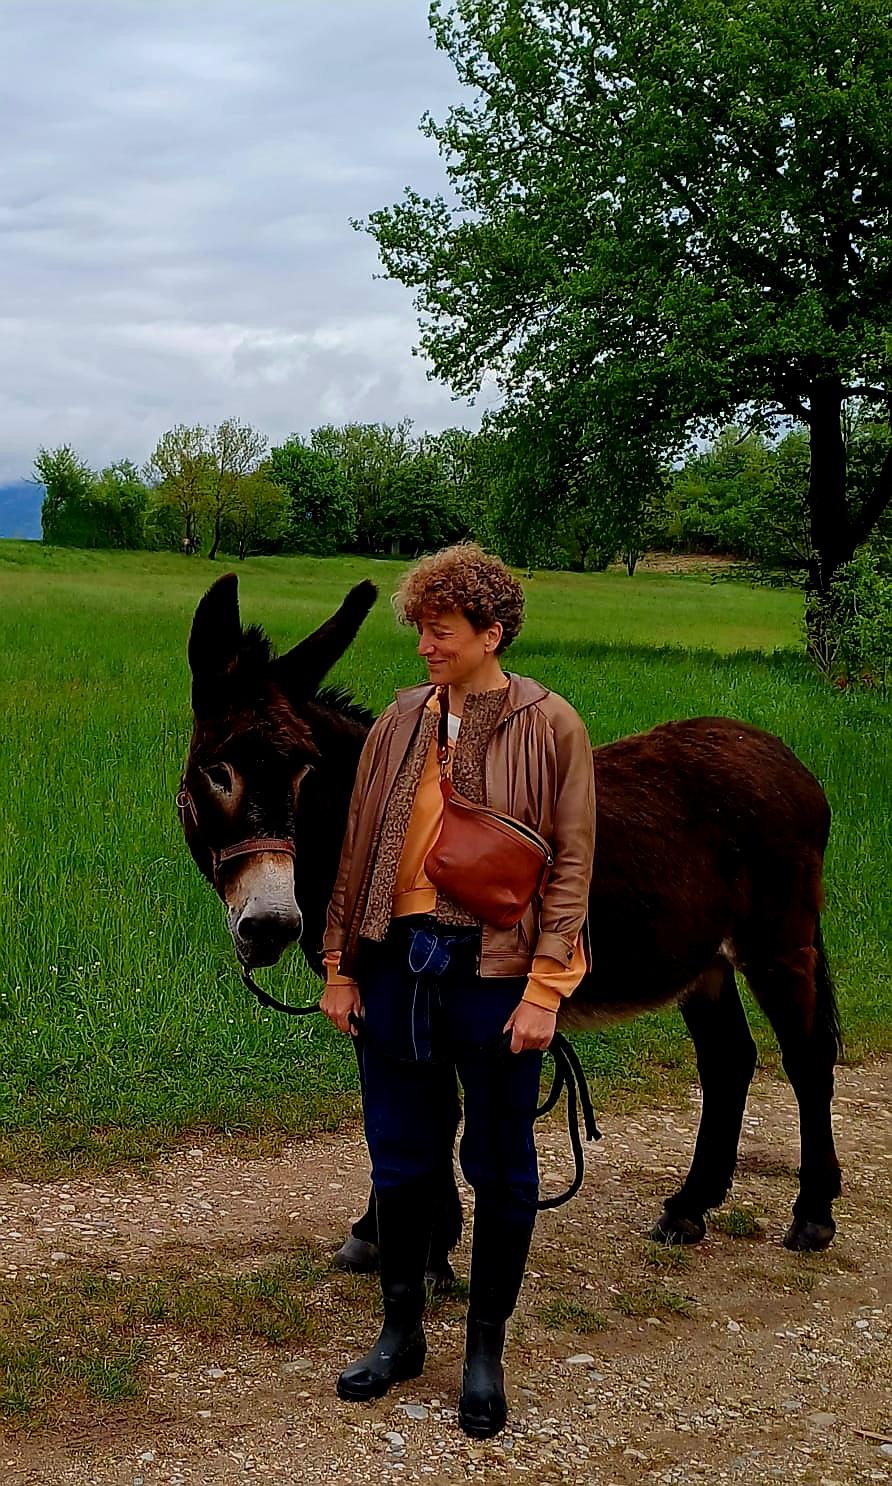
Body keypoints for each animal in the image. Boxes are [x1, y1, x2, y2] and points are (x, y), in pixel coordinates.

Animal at [178, 573, 842, 1261]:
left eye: (305, 772)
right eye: (215, 771)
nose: (271, 925)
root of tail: (784, 758)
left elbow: (421, 1113)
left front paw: (414, 1243)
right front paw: (399, 1234)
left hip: (778, 943)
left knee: (807, 1056)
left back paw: (812, 1216)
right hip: (704, 961)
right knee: (729, 1060)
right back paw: (689, 1208)